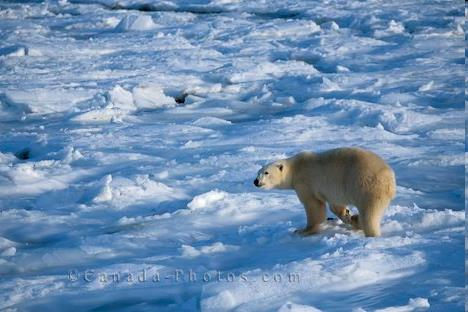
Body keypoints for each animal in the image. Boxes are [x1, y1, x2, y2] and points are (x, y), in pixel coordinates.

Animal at [254, 147, 396, 238]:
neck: (295, 169)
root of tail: (390, 178)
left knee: (370, 213)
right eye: (258, 172)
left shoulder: (306, 182)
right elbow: (335, 205)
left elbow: (314, 207)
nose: (255, 181)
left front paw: (302, 231)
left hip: (366, 186)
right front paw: (347, 214)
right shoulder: (334, 190)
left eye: (266, 172)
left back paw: (370, 232)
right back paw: (356, 220)